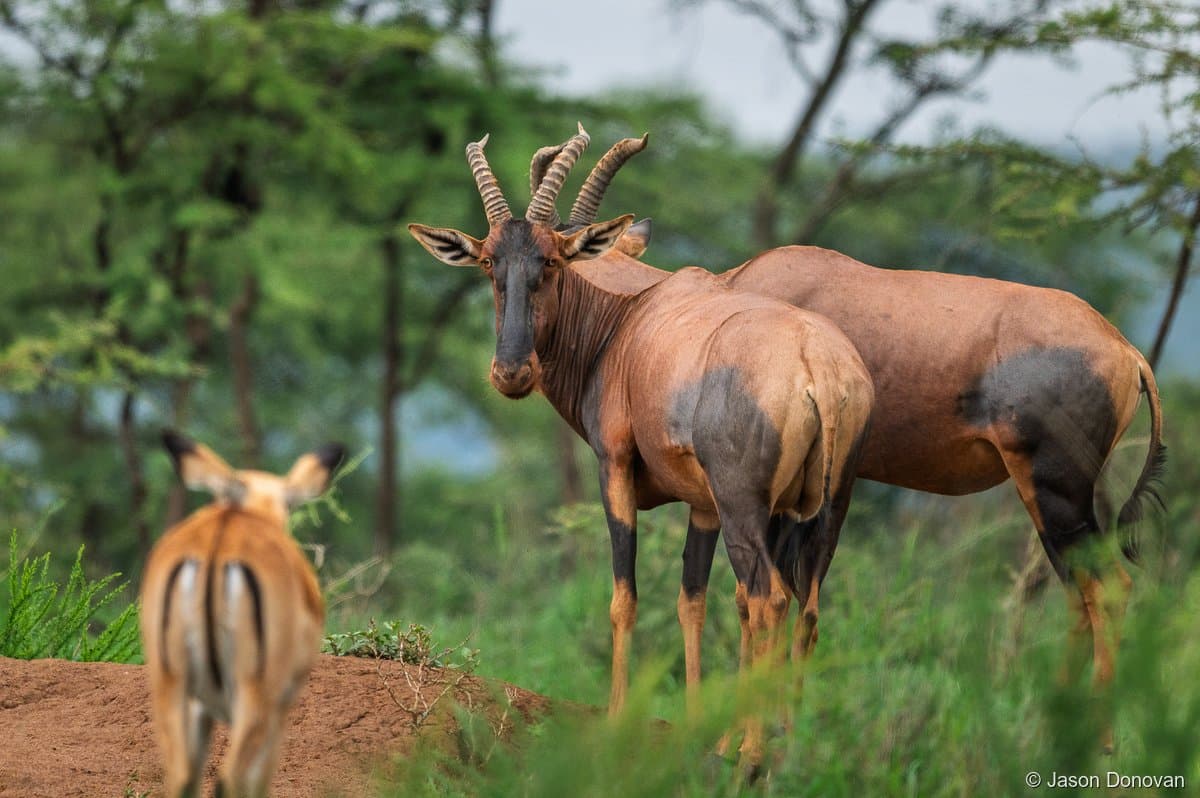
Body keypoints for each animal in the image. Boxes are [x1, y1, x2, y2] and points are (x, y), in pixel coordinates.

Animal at [140, 431, 344, 797]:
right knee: (230, 780)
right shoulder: (280, 706)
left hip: (171, 683)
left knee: (181, 779)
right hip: (255, 695)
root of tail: (220, 536)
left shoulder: (200, 708)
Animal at [409, 126, 875, 764]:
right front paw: (703, 727)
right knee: (804, 609)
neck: (628, 320)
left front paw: (616, 720)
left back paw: (754, 756)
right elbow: (692, 598)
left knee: (768, 600)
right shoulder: (702, 506)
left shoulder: (616, 467)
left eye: (551, 259)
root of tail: (818, 366)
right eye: (487, 261)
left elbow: (623, 596)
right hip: (823, 509)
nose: (511, 374)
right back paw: (787, 742)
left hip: (746, 506)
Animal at [547, 133, 1164, 744]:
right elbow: (792, 597)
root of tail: (1125, 350)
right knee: (1079, 595)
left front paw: (740, 738)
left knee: (1107, 588)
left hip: (1054, 490)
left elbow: (754, 598)